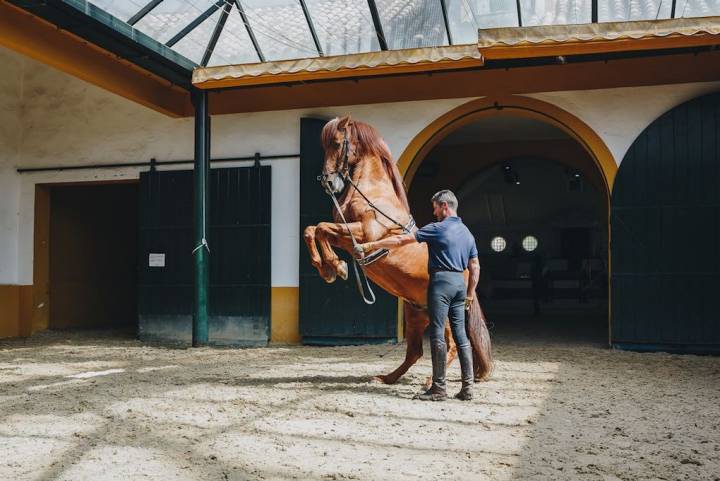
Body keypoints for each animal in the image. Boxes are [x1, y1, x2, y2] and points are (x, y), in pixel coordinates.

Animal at [300, 115, 492, 382]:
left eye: (337, 143)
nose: (329, 183)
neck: (373, 194)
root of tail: (467, 275)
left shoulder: (364, 231)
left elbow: (320, 228)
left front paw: (336, 267)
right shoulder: (344, 234)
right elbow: (313, 230)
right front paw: (329, 268)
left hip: (442, 314)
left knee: (451, 345)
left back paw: (429, 380)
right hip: (415, 314)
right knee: (414, 352)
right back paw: (386, 378)